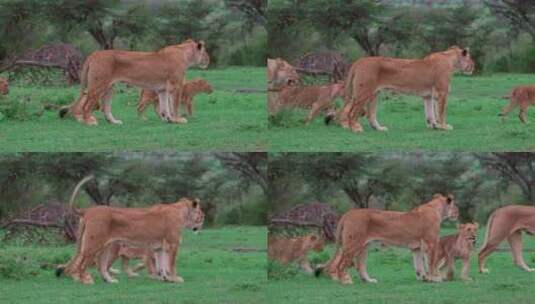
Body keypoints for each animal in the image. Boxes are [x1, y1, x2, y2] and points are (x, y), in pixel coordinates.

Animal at [56, 197, 203, 284]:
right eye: (201, 215)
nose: (203, 222)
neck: (182, 213)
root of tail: (88, 210)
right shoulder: (173, 244)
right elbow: (171, 264)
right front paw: (175, 278)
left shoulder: (159, 247)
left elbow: (161, 264)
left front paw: (165, 278)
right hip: (93, 244)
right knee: (83, 263)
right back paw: (86, 280)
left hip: (106, 246)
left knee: (102, 266)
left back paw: (110, 280)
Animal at [59, 39, 209, 125]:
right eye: (205, 52)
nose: (209, 60)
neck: (185, 55)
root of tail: (93, 54)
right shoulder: (175, 86)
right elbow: (175, 105)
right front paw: (178, 119)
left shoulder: (162, 89)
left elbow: (164, 106)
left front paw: (169, 120)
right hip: (98, 85)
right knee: (86, 106)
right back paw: (89, 121)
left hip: (109, 87)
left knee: (105, 108)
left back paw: (114, 121)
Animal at [316, 194, 458, 284]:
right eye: (455, 206)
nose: (458, 213)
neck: (436, 209)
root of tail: (348, 213)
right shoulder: (431, 243)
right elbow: (432, 263)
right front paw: (434, 278)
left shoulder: (416, 248)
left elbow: (419, 265)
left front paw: (423, 278)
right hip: (353, 244)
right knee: (340, 264)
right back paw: (345, 281)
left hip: (364, 247)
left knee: (361, 265)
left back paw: (368, 280)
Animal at [338, 47, 476, 132]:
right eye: (470, 59)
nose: (474, 66)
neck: (451, 60)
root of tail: (359, 60)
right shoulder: (441, 92)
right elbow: (441, 112)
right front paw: (444, 126)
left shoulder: (428, 95)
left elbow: (430, 112)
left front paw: (434, 126)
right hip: (363, 92)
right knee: (351, 112)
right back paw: (355, 128)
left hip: (374, 94)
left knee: (371, 115)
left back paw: (379, 128)